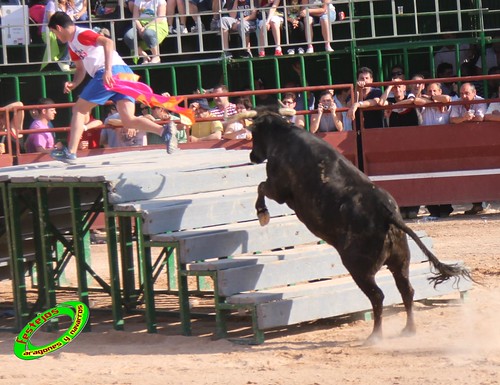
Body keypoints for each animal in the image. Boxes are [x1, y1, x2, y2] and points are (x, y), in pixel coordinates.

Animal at [250, 109, 472, 340]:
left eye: (253, 135)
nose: (252, 156)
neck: (283, 135)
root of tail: (387, 213)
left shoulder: (278, 188)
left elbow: (261, 186)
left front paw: (262, 214)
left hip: (359, 268)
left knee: (378, 296)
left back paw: (375, 335)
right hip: (401, 260)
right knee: (406, 290)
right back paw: (408, 329)